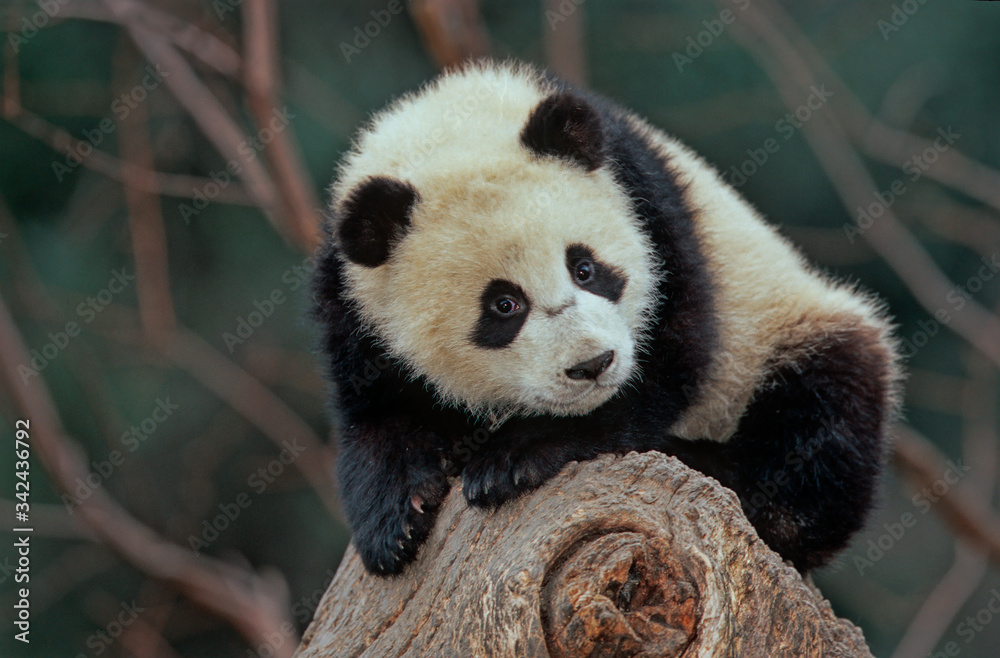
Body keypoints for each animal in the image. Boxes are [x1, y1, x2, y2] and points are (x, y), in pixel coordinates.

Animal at [312, 61, 902, 577]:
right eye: (504, 305)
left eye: (585, 268)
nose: (593, 365)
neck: (449, 124)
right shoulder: (351, 294)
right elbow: (378, 412)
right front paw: (393, 519)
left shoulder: (647, 202)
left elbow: (672, 356)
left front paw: (515, 457)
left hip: (781, 325)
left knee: (818, 429)